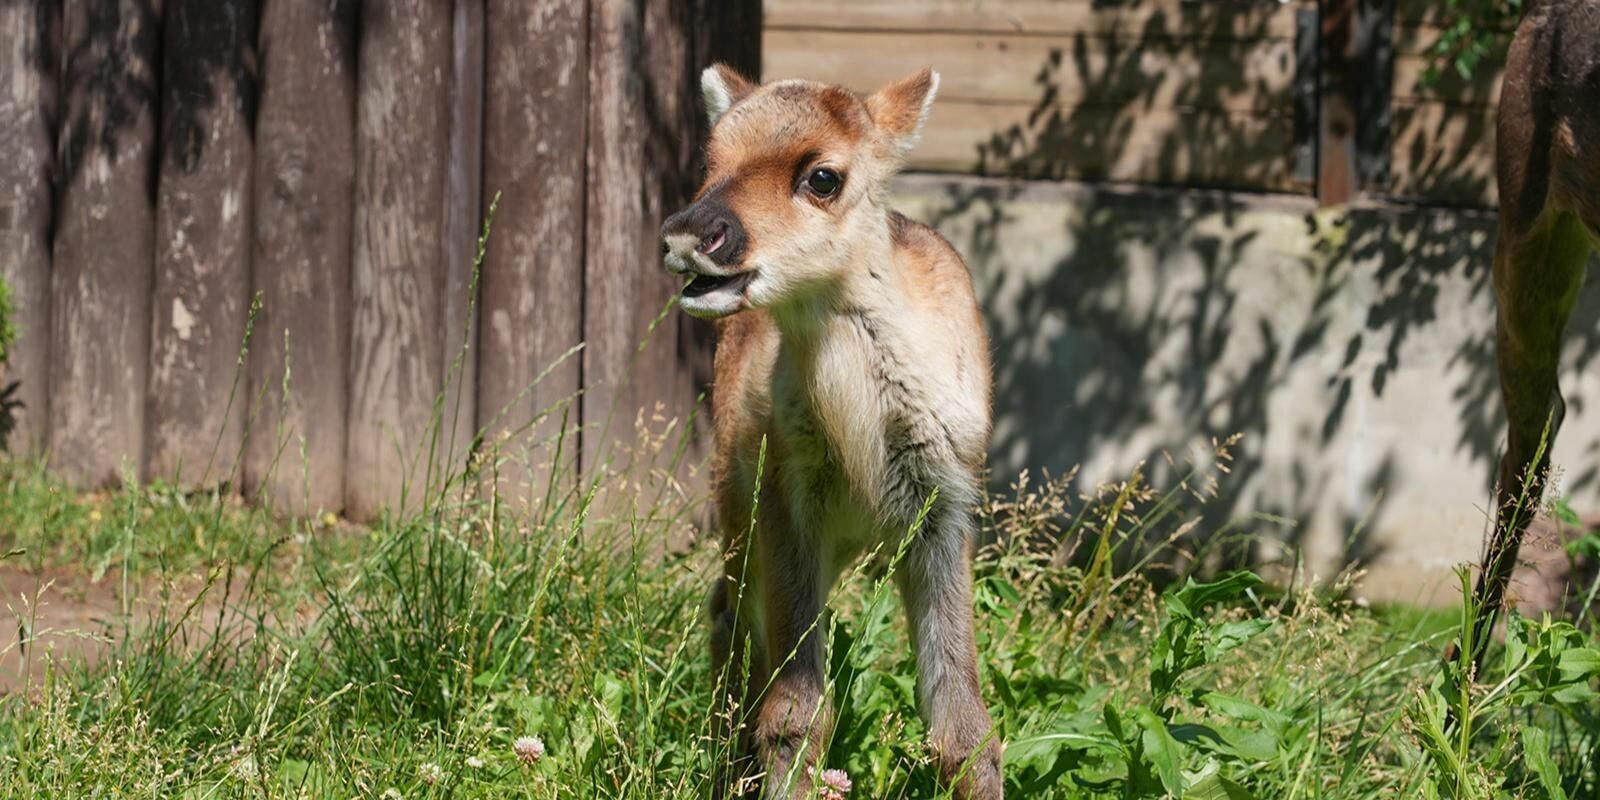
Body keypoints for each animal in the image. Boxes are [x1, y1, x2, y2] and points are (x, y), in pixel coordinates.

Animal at [660, 65, 1004, 798]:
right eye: (711, 160)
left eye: (823, 177)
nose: (688, 234)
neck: (864, 442)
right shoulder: (788, 493)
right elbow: (795, 713)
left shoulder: (948, 504)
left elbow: (965, 730)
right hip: (737, 502)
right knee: (729, 617)